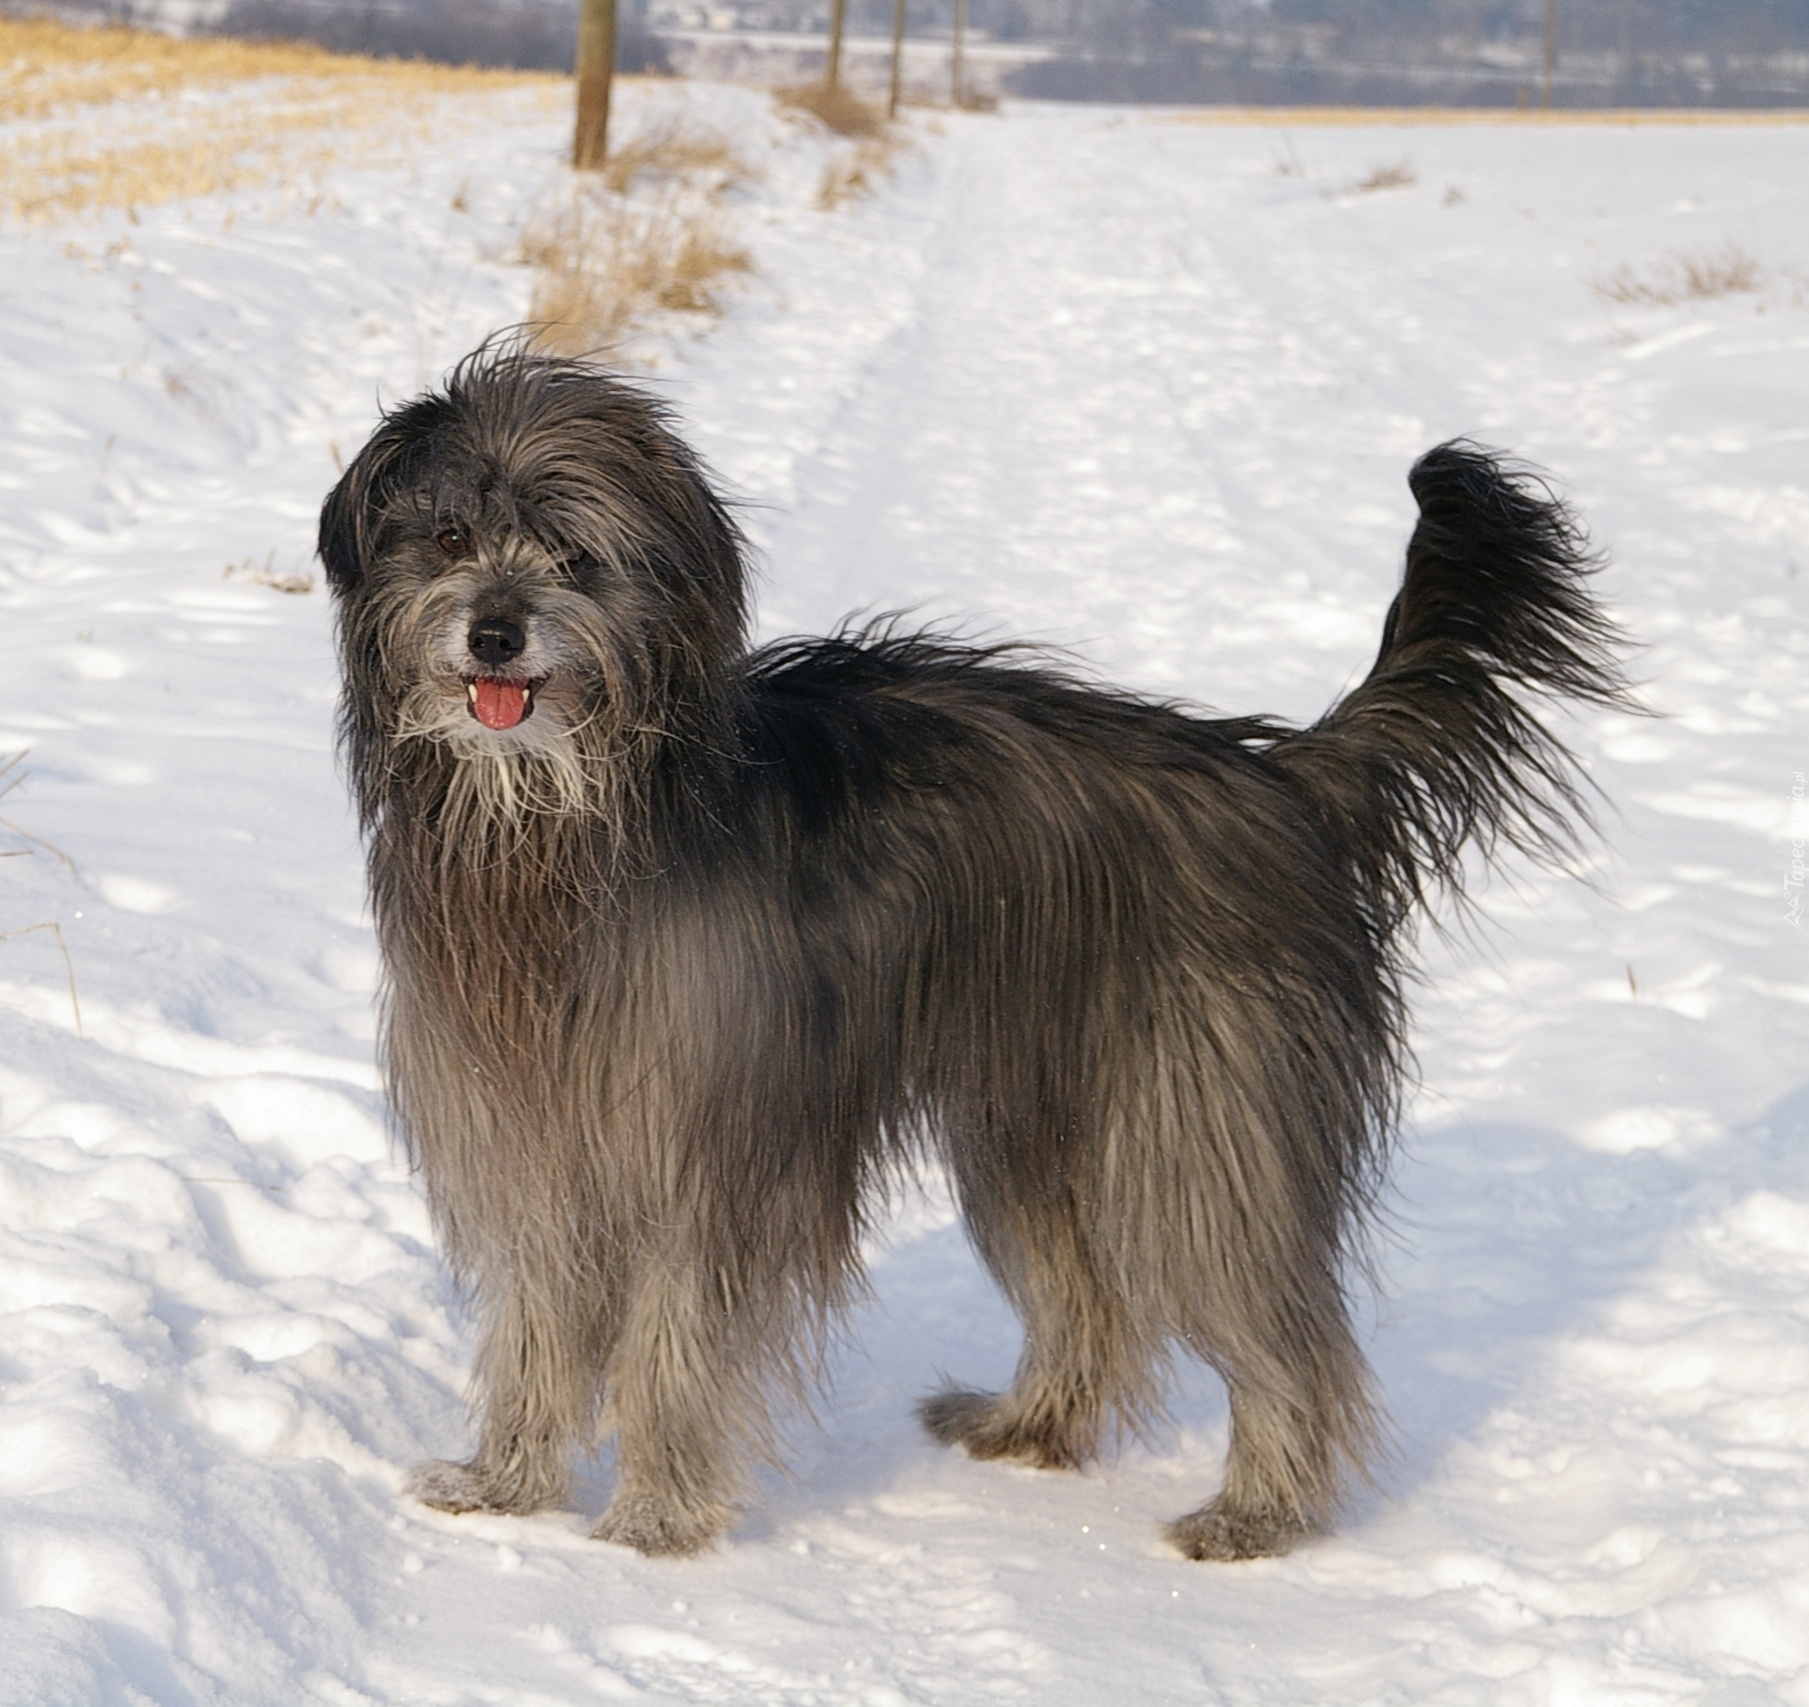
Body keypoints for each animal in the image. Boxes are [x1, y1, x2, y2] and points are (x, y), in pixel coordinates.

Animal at [318, 347, 1620, 1562]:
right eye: (447, 535)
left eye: (576, 555)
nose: (495, 631)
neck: (561, 835)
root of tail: (1279, 778)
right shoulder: (528, 1128)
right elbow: (536, 1319)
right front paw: (504, 1482)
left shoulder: (711, 1141)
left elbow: (674, 1336)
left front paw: (657, 1518)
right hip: (1030, 1120)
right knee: (1084, 1296)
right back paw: (1027, 1424)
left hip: (1197, 1120)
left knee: (1277, 1325)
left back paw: (1258, 1512)